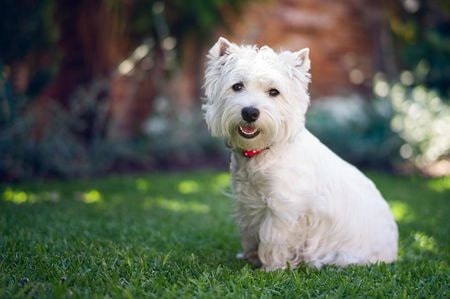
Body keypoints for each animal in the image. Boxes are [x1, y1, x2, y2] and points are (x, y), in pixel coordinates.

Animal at [203, 37, 398, 272]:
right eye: (237, 86)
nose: (250, 112)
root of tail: (393, 251)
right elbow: (251, 233)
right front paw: (251, 257)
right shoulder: (247, 202)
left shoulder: (283, 207)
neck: (265, 150)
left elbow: (272, 238)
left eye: (274, 92)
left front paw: (271, 268)